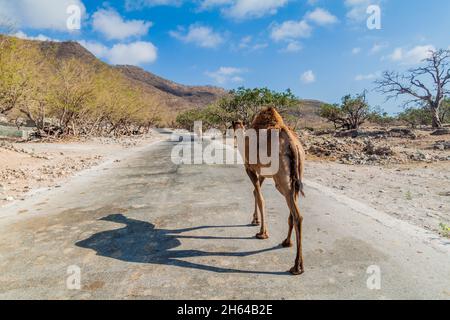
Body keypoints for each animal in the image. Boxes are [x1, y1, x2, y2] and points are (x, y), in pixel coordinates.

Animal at [232, 108, 306, 276]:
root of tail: (293, 144)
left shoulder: (249, 168)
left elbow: (260, 197)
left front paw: (262, 233)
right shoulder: (262, 173)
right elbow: (255, 192)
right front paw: (255, 220)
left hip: (281, 178)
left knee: (297, 215)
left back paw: (297, 267)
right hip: (296, 176)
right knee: (293, 210)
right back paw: (286, 242)